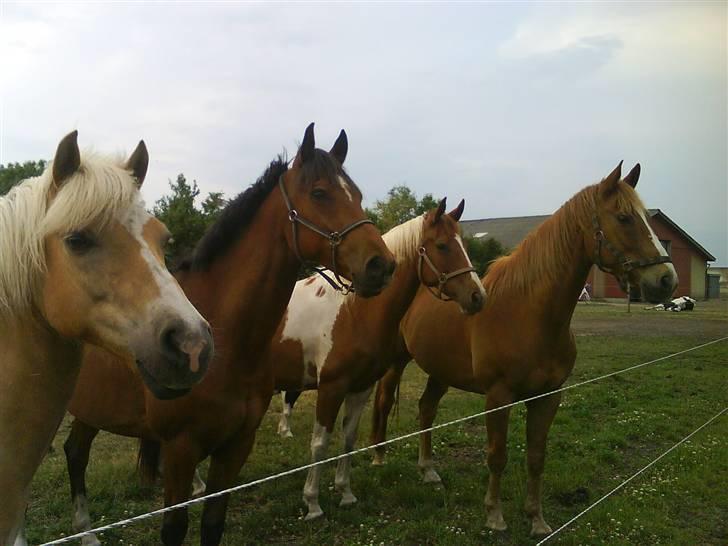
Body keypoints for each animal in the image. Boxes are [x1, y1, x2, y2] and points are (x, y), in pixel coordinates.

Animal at [60, 124, 396, 544]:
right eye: (320, 193)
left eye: (359, 196)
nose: (381, 265)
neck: (226, 342)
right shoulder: (181, 449)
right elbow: (174, 529)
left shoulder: (236, 445)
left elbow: (213, 523)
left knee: (75, 452)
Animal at [266, 199, 484, 520]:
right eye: (443, 246)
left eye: (465, 245)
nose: (478, 296)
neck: (354, 311)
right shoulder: (330, 387)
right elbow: (319, 444)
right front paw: (313, 503)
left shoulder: (361, 387)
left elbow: (348, 438)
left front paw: (345, 493)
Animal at [370, 163, 684, 536]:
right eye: (623, 218)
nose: (666, 279)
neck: (528, 313)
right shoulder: (498, 396)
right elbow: (497, 455)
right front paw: (494, 515)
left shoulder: (548, 396)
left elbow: (536, 457)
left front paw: (536, 519)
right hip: (396, 361)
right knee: (384, 401)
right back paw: (378, 457)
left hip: (441, 370)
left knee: (426, 409)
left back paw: (428, 470)